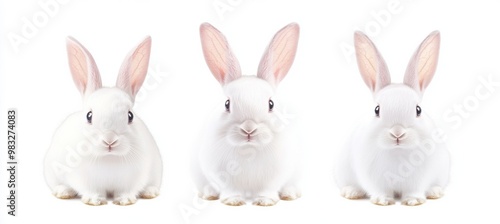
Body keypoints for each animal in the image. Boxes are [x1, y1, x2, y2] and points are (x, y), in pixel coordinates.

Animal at [43, 36, 162, 206]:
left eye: (130, 116)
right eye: (89, 116)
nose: (110, 140)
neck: (108, 158)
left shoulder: (134, 178)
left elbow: (127, 190)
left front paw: (124, 200)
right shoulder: (83, 179)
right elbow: (91, 190)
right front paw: (94, 200)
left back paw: (150, 192)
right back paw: (63, 191)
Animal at [191, 23, 300, 206]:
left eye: (271, 104)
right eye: (227, 104)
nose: (249, 129)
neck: (248, 150)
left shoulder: (274, 176)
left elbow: (267, 189)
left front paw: (265, 202)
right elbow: (230, 190)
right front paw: (233, 201)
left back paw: (290, 194)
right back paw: (209, 195)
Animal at [336, 30, 450, 206]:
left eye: (418, 110)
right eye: (377, 110)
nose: (397, 133)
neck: (397, 152)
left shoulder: (419, 178)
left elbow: (414, 190)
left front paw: (413, 201)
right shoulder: (372, 177)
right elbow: (379, 190)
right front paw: (382, 201)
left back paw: (434, 192)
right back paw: (352, 192)